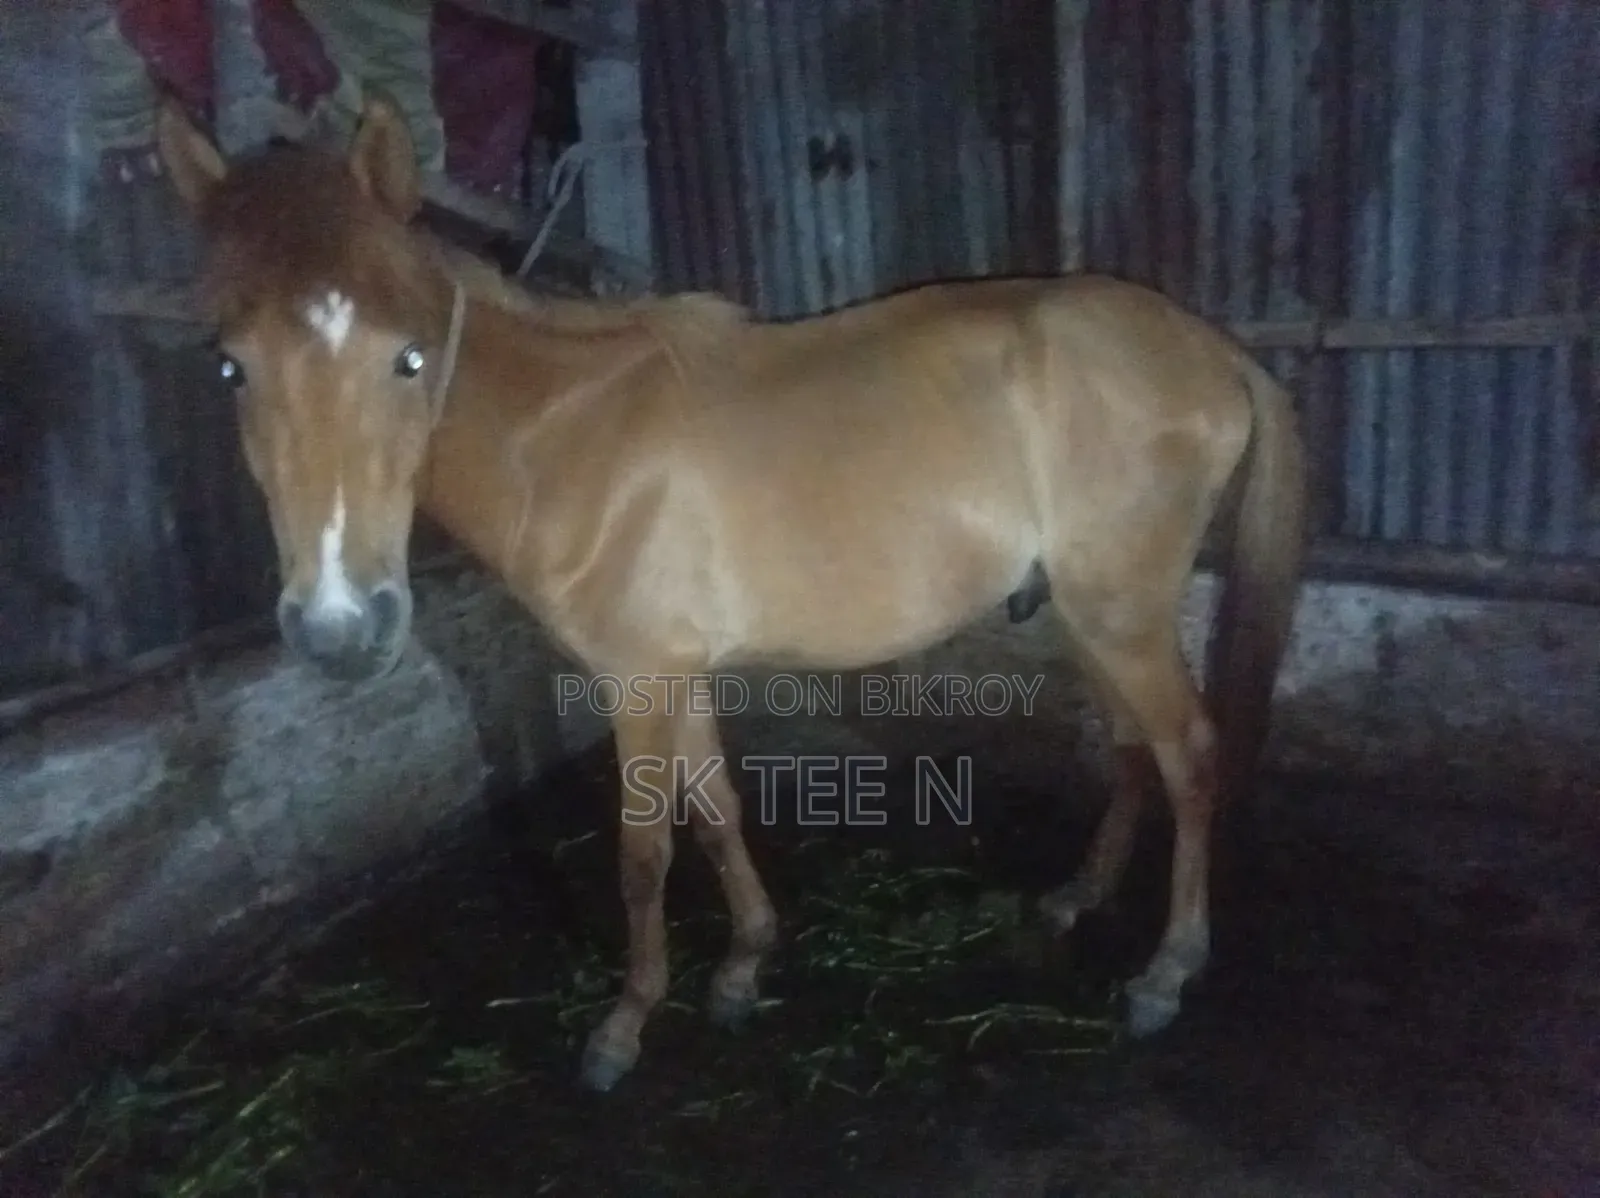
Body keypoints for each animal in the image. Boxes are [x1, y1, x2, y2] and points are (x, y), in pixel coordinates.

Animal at [156, 93, 1306, 1092]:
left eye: (406, 358)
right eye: (230, 367)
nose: (340, 624)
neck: (568, 438)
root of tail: (1211, 349)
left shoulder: (635, 682)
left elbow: (642, 850)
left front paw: (623, 1027)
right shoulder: (679, 673)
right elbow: (713, 811)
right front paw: (746, 966)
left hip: (1124, 613)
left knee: (1189, 756)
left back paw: (1165, 973)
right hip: (1093, 612)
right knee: (1134, 749)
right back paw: (1073, 900)